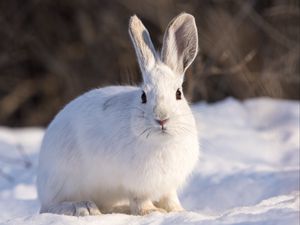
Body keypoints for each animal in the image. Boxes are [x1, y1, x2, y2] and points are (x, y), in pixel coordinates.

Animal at [37, 12, 200, 216]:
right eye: (143, 96)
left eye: (179, 93)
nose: (162, 119)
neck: (162, 143)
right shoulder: (137, 186)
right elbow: (140, 201)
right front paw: (151, 212)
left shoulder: (168, 186)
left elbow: (169, 199)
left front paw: (179, 211)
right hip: (63, 180)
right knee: (49, 207)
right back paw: (83, 207)